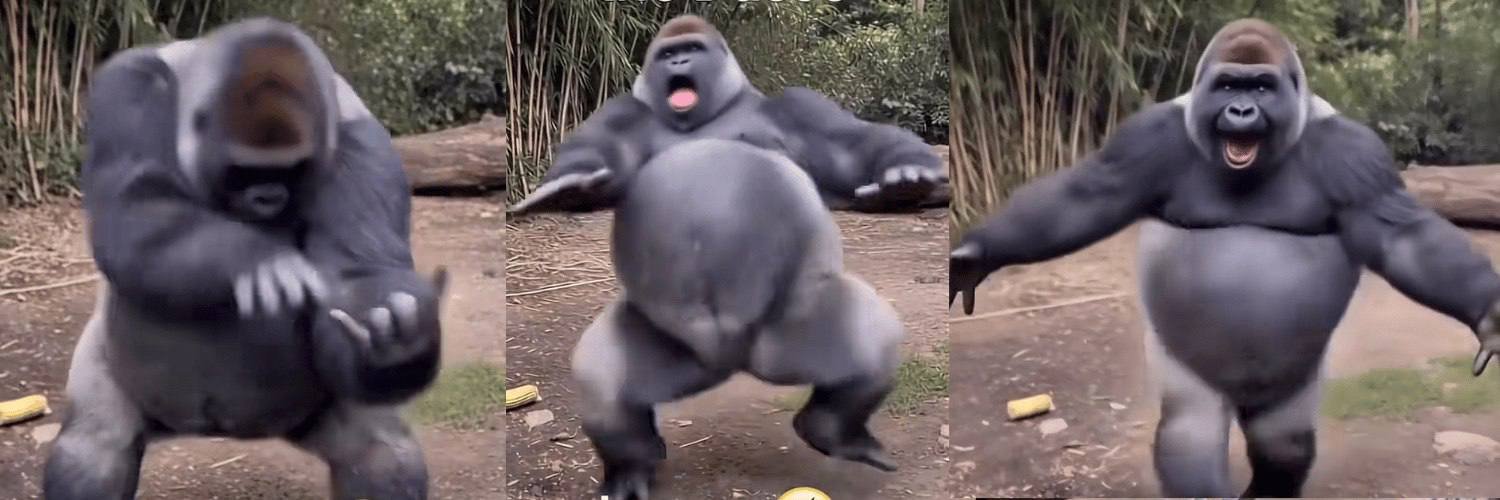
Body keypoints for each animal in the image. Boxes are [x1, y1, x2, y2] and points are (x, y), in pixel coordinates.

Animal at [44, 18, 447, 500]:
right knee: (94, 447)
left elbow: (361, 276)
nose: (266, 197)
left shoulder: (363, 139)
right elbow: (132, 207)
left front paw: (397, 346)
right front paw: (253, 260)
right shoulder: (128, 85)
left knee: (379, 452)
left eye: (289, 170)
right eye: (244, 171)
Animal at [508, 14, 948, 216]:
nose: (679, 61)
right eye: (668, 53)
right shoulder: (622, 109)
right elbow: (593, 151)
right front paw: (570, 187)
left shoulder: (795, 102)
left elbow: (850, 142)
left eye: (692, 49)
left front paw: (906, 170)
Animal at [540, 138, 907, 499]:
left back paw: (832, 431)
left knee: (873, 341)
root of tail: (731, 357)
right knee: (601, 380)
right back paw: (631, 469)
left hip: (788, 336)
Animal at [949, 19, 1500, 498]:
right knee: (1190, 431)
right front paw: (979, 253)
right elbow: (1088, 198)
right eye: (1229, 85)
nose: (1239, 112)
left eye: (1260, 88)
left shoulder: (1356, 155)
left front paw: (1488, 312)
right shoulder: (1144, 140)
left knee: (1282, 440)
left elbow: (1399, 235)